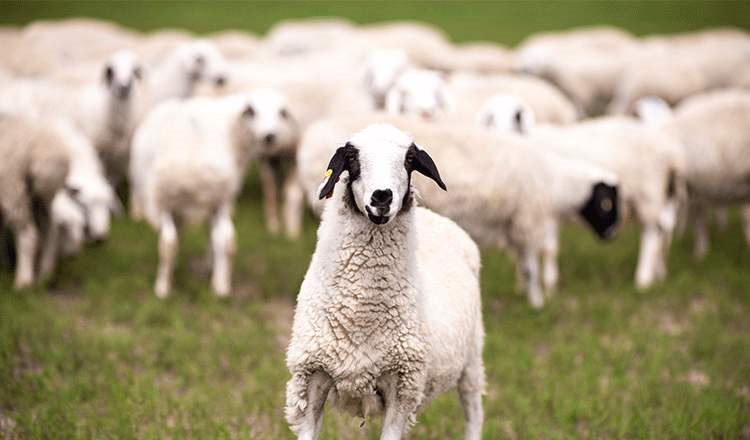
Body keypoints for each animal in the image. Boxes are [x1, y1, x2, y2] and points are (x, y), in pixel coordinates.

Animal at [0, 112, 70, 288]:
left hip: (12, 187)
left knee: (28, 234)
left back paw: (23, 281)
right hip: (39, 196)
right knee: (51, 228)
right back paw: (45, 273)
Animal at [284, 122, 488, 438]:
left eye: (409, 160)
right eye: (352, 158)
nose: (382, 197)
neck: (361, 314)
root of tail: (434, 217)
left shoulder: (401, 386)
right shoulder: (310, 377)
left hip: (471, 360)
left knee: (474, 413)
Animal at [296, 115, 620, 308]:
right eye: (607, 203)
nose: (612, 234)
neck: (554, 181)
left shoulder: (517, 225)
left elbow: (524, 265)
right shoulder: (526, 218)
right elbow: (530, 267)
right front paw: (537, 302)